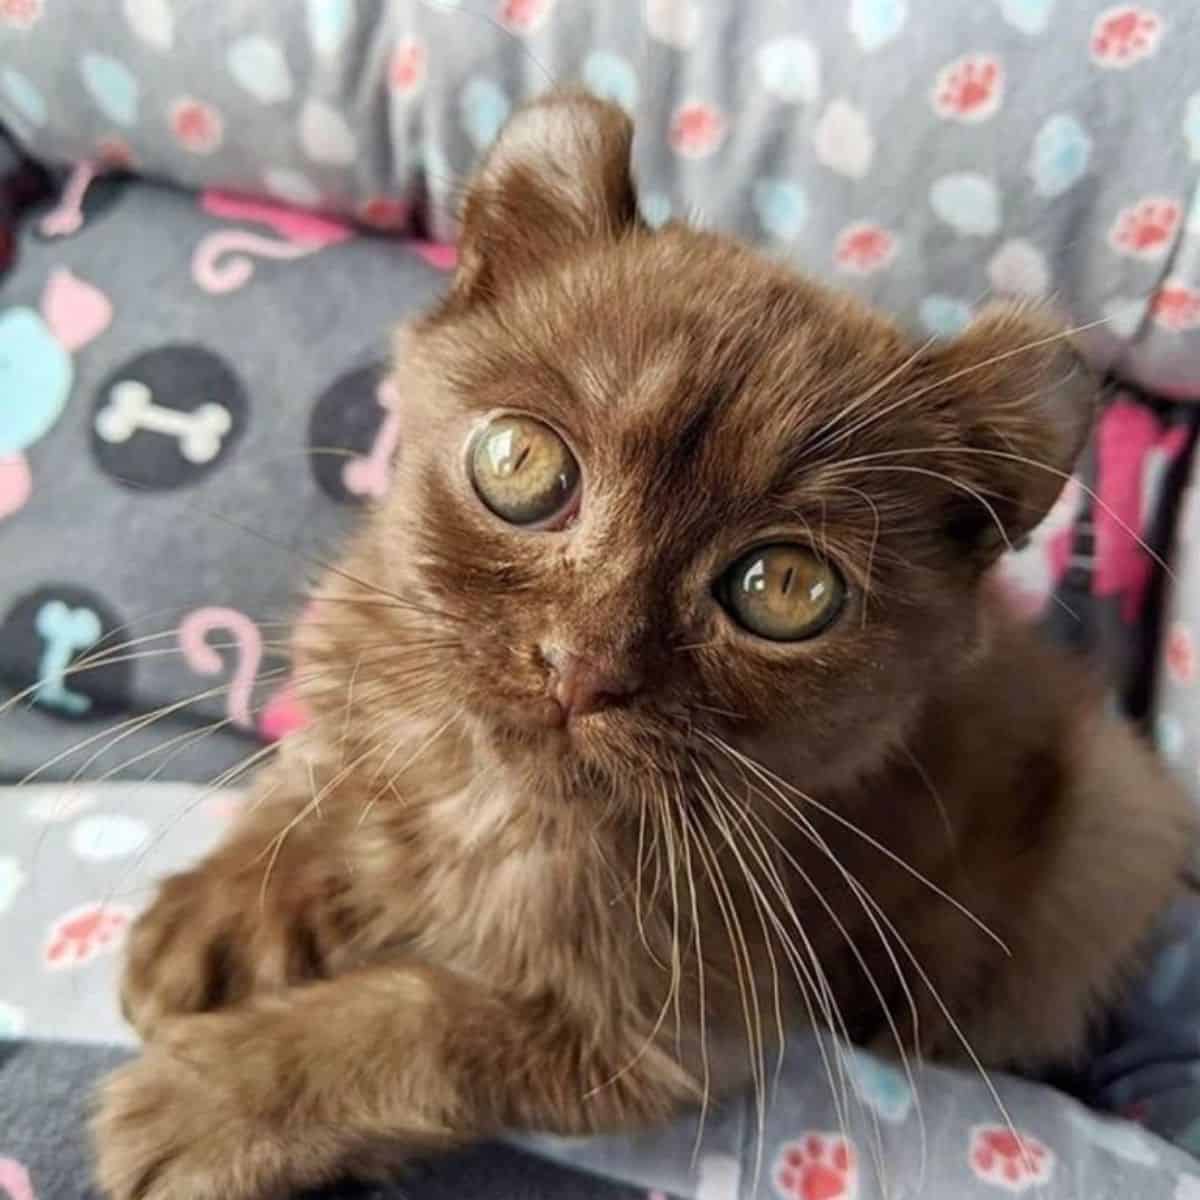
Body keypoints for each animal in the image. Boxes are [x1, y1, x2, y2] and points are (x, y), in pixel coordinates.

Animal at [91, 96, 1190, 1200]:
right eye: (519, 462)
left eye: (786, 589)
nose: (584, 664)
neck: (489, 797)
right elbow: (315, 776)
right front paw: (221, 914)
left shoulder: (669, 1035)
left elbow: (429, 1026)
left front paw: (214, 1099)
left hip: (1108, 837)